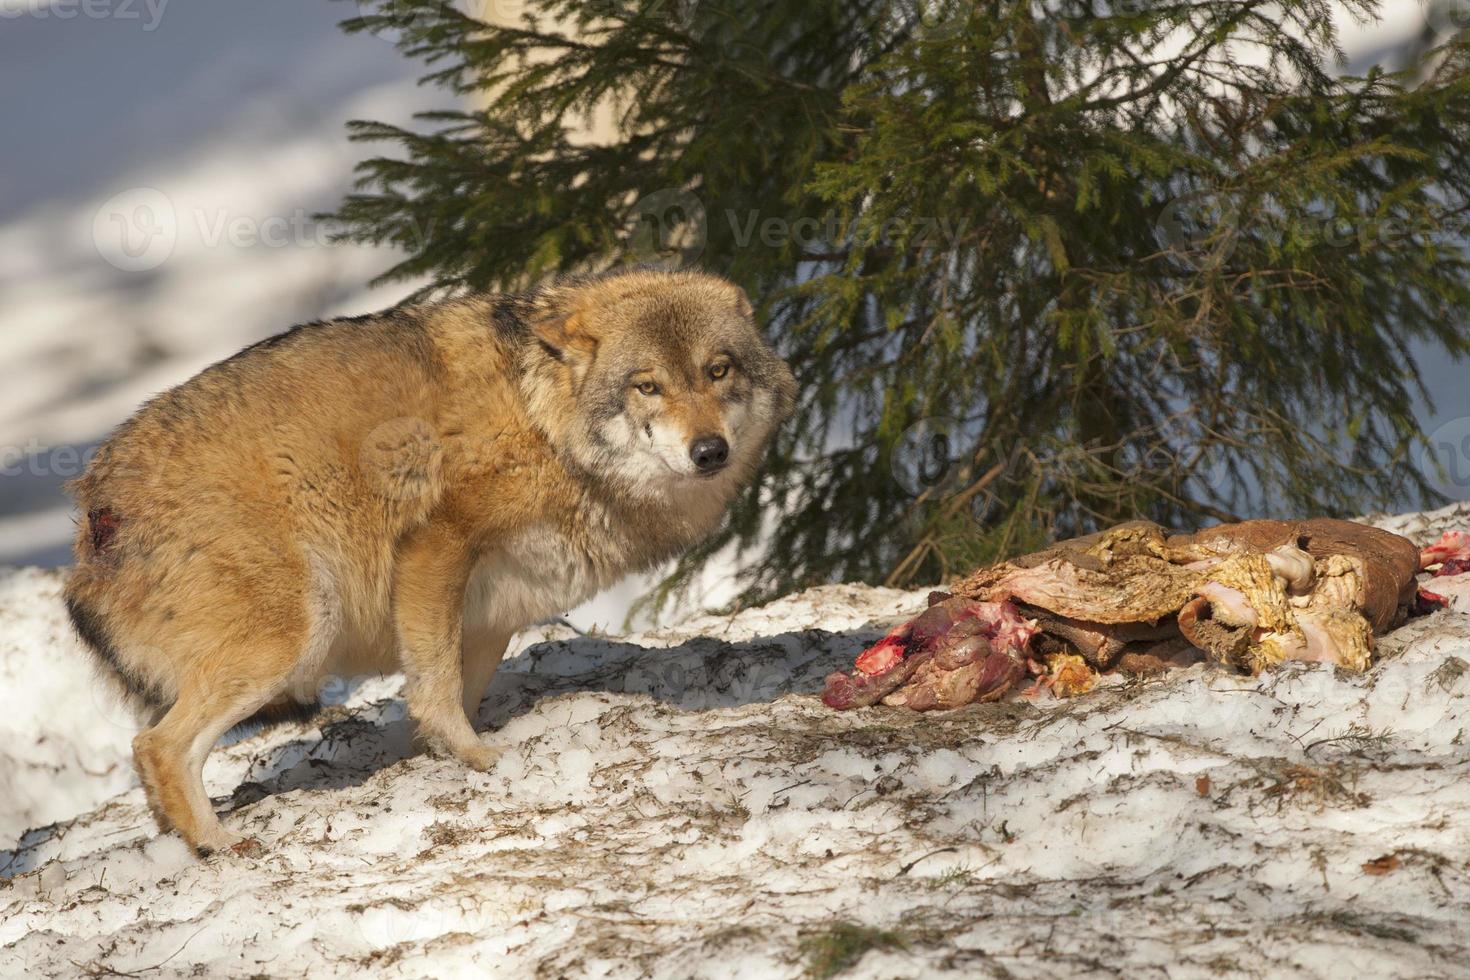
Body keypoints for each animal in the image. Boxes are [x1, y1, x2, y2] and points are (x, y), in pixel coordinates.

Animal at [64, 268, 799, 858]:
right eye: (648, 386)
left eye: (718, 370)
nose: (709, 451)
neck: (543, 422)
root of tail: (94, 508)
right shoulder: (434, 551)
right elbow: (439, 686)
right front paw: (477, 758)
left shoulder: (495, 611)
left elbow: (452, 688)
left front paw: (435, 756)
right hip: (295, 635)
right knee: (157, 748)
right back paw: (218, 843)